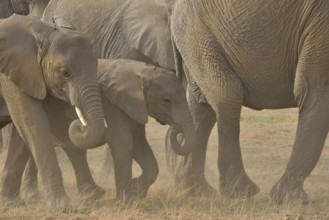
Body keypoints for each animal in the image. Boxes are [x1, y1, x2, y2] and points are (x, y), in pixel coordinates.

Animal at [0, 14, 104, 209]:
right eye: (65, 73)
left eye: (96, 66)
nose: (81, 124)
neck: (43, 32)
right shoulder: (11, 74)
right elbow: (34, 124)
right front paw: (63, 206)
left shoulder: (34, 75)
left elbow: (28, 129)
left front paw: (10, 203)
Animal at [169, 0, 328, 205]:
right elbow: (315, 91)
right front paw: (292, 199)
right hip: (197, 34)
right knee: (227, 94)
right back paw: (240, 192)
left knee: (202, 107)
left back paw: (194, 190)